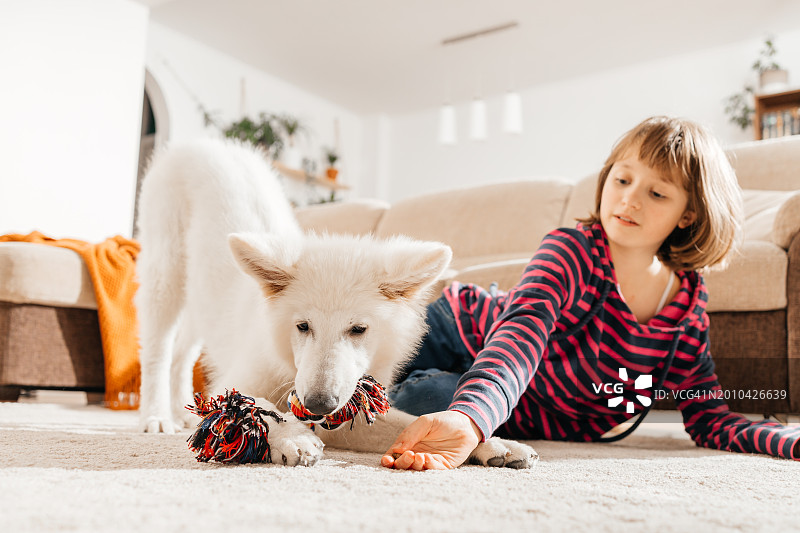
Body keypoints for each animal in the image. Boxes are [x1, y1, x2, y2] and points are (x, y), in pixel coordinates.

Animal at [138, 139, 536, 468]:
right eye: (302, 326)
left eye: (359, 329)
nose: (318, 405)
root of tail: (206, 144)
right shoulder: (241, 378)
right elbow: (253, 404)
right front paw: (292, 435)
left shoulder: (349, 406)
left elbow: (408, 422)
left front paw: (483, 441)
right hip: (165, 275)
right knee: (158, 351)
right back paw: (156, 416)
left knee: (182, 355)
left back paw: (181, 412)